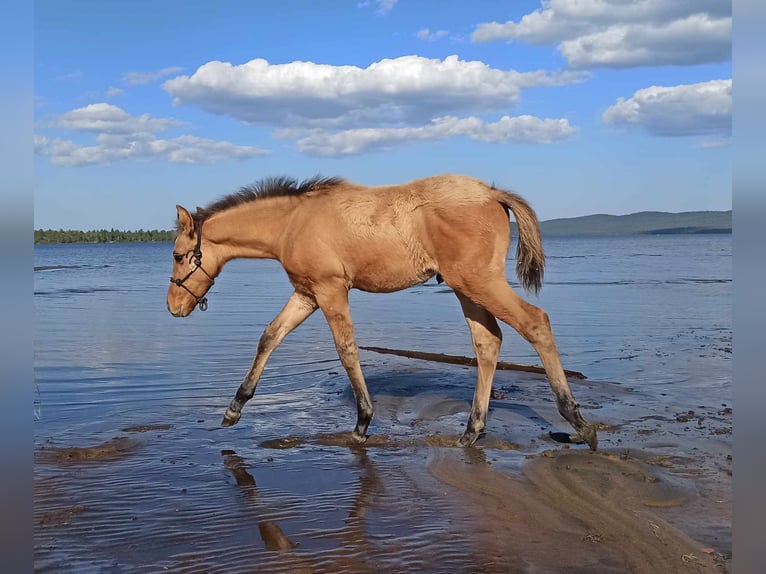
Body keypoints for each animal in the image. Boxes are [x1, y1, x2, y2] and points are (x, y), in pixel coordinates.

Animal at [167, 174, 598, 450]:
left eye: (177, 255)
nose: (174, 307)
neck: (292, 223)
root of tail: (493, 193)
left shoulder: (330, 290)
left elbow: (347, 350)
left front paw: (362, 422)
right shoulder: (306, 293)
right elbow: (270, 336)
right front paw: (233, 408)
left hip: (479, 283)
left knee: (535, 322)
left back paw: (577, 423)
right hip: (467, 288)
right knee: (487, 341)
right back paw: (472, 430)